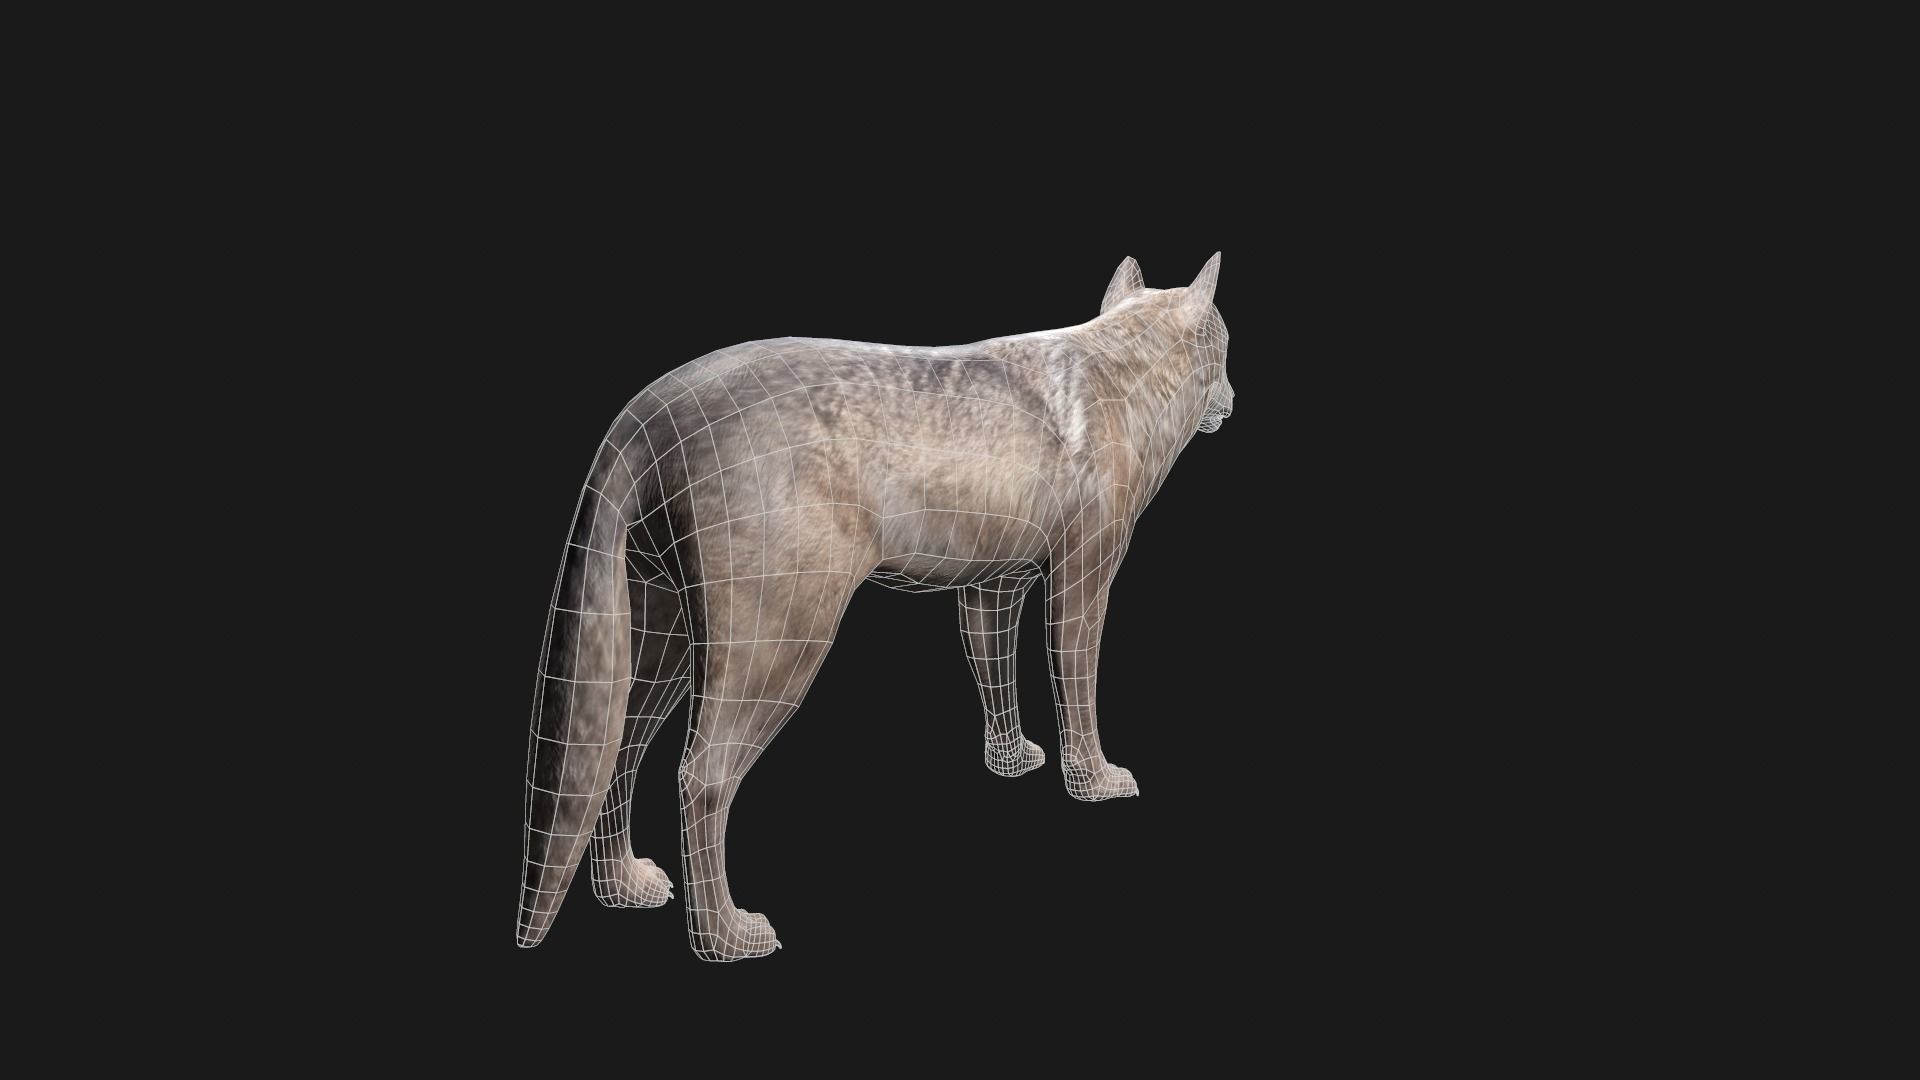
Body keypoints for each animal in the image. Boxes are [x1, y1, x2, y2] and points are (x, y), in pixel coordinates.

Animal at [518, 254, 1233, 959]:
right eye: (1226, 346)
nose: (1231, 396)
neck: (1125, 364)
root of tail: (653, 406)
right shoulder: (1084, 575)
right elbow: (1076, 681)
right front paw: (1096, 780)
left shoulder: (993, 584)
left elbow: (994, 670)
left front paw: (1011, 759)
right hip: (778, 641)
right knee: (701, 772)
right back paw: (725, 935)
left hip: (661, 629)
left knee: (617, 743)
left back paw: (625, 885)